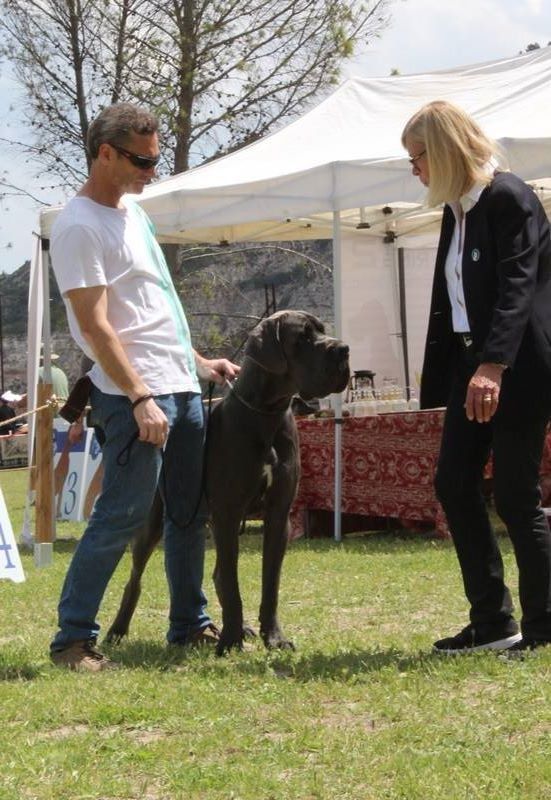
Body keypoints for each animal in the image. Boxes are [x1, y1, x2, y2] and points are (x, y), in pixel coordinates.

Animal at [106, 310, 350, 655]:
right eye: (302, 337)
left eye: (321, 330)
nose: (343, 350)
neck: (265, 413)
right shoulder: (227, 513)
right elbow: (233, 582)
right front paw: (230, 641)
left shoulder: (279, 514)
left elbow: (270, 583)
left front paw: (273, 637)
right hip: (153, 522)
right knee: (135, 579)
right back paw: (117, 631)